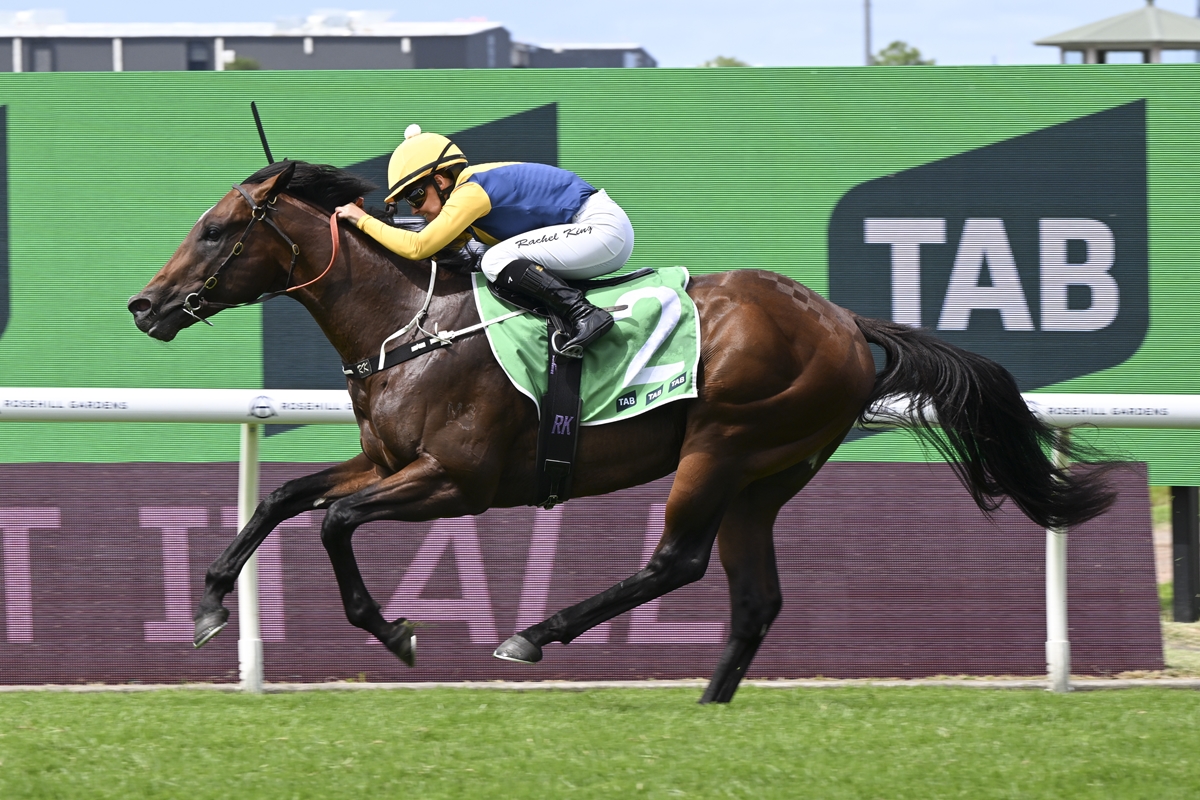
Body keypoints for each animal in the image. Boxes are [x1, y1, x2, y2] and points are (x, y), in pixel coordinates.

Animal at [128, 160, 1115, 703]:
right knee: (754, 597)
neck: (410, 321)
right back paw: (708, 706)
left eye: (215, 229)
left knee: (677, 561)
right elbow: (284, 497)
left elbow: (333, 523)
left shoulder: (456, 481)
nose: (144, 306)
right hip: (767, 475)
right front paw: (209, 605)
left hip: (723, 443)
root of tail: (841, 320)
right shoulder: (384, 459)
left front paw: (395, 629)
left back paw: (536, 633)